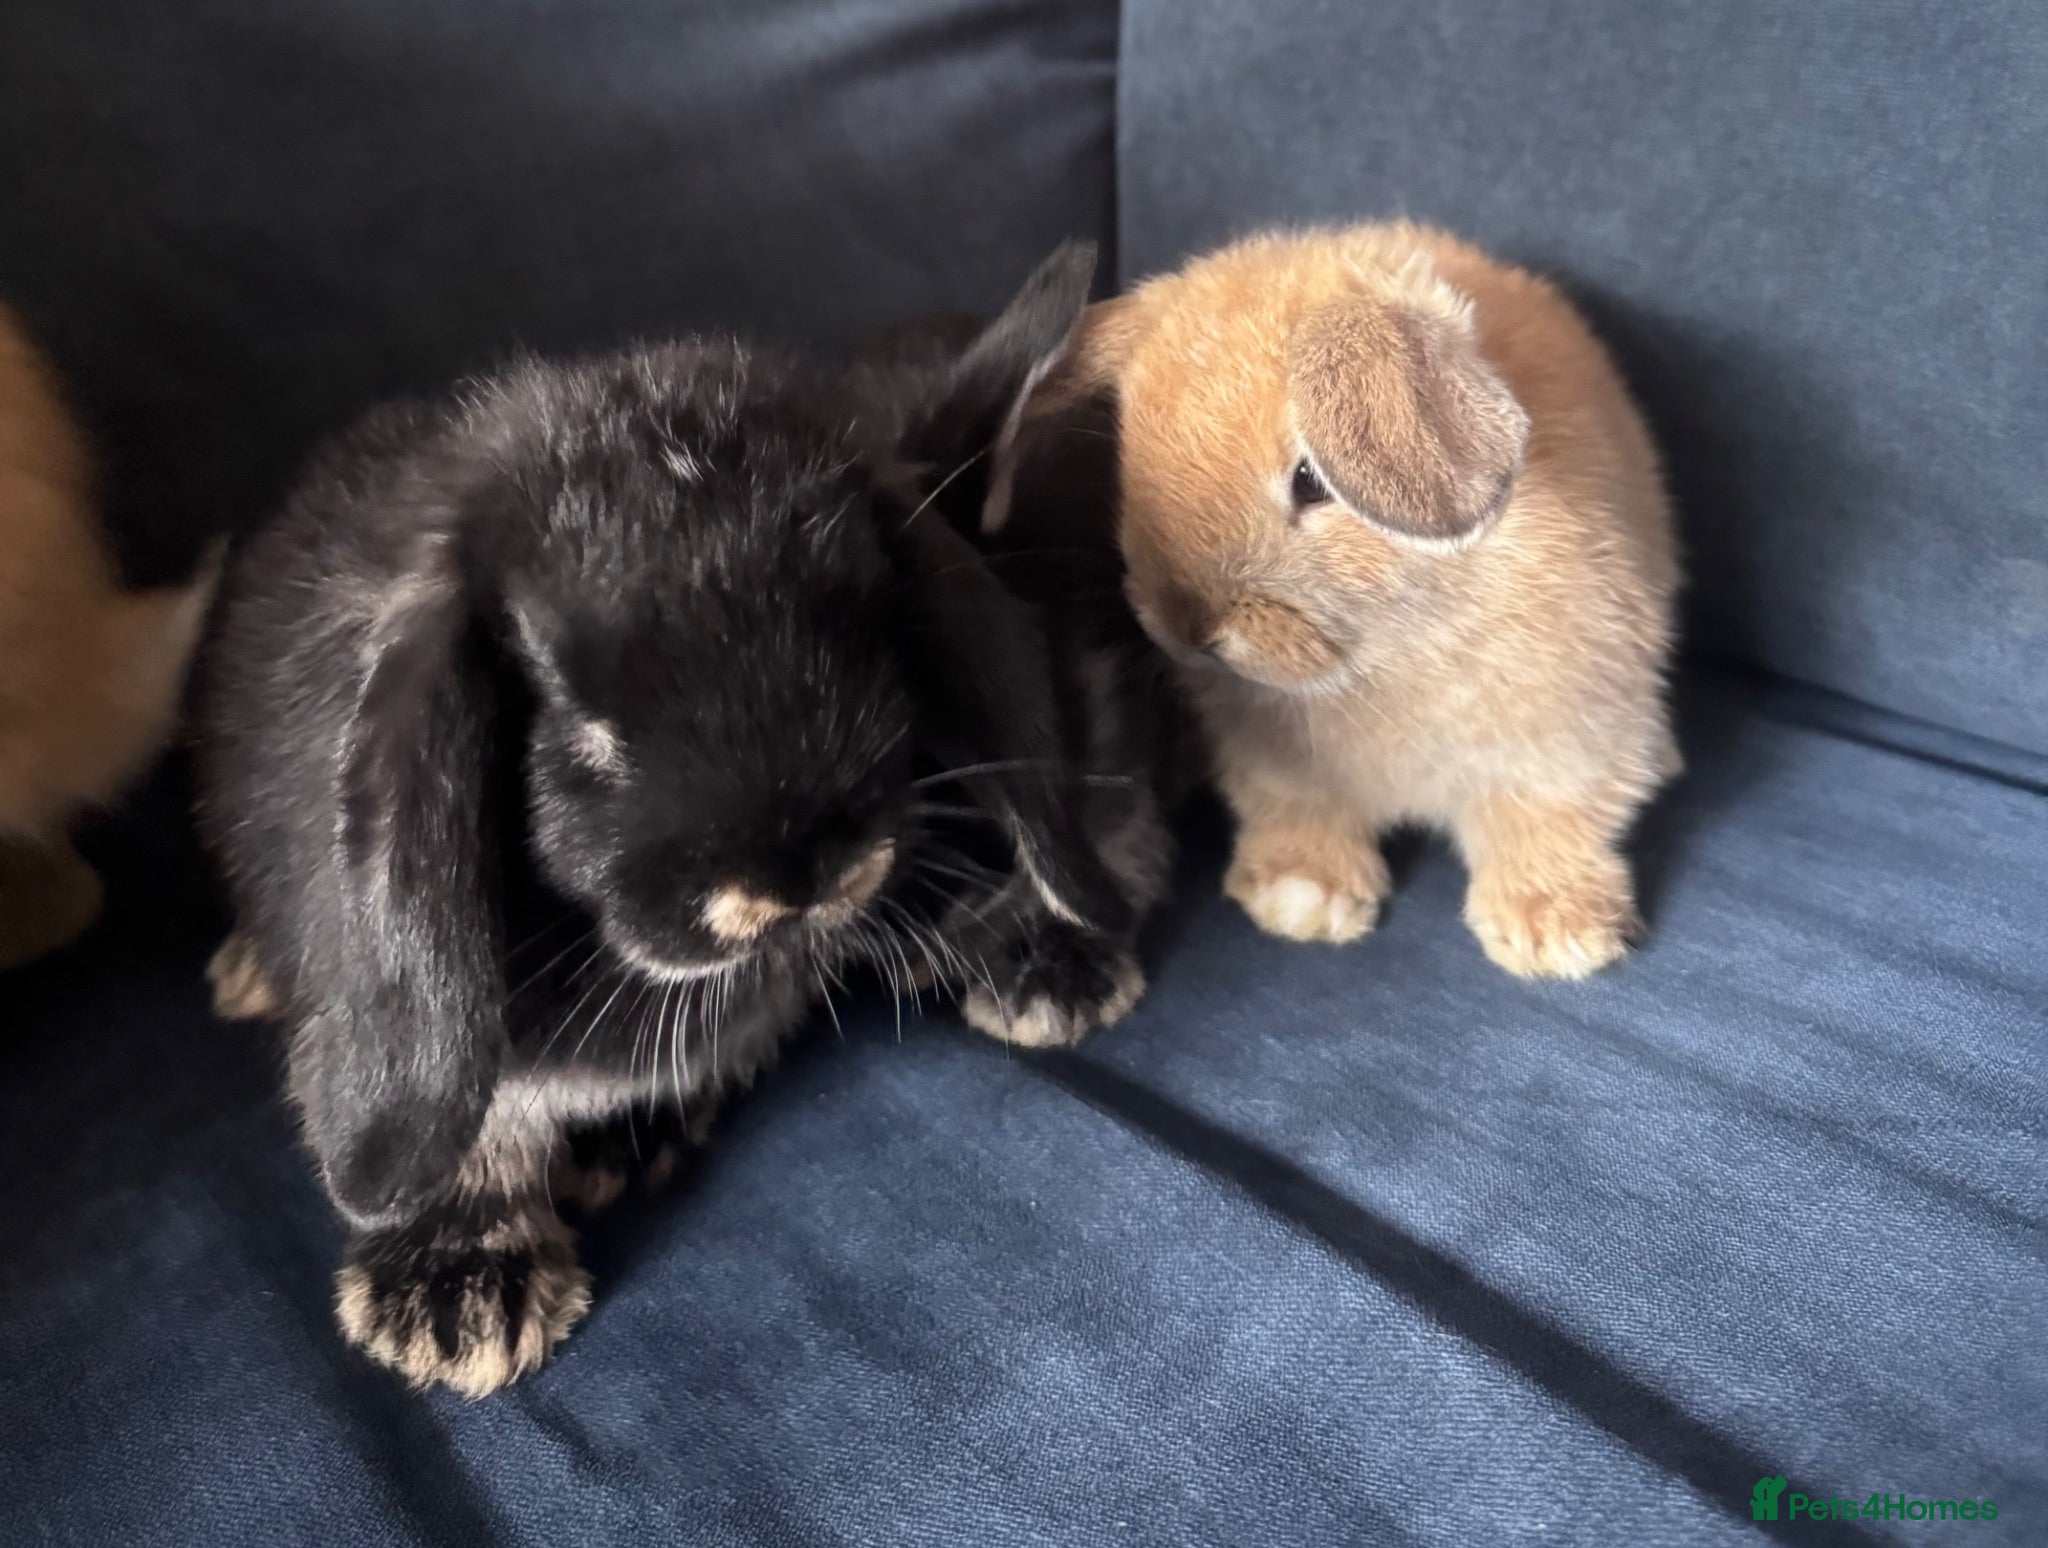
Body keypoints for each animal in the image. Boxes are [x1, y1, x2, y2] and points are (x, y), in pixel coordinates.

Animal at [996, 223, 1679, 979]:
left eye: (1312, 481)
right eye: (1128, 466)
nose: (1187, 627)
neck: (1382, 657)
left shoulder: (1571, 740)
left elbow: (1549, 818)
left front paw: (1556, 934)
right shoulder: (1277, 764)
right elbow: (1297, 809)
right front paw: (1303, 899)